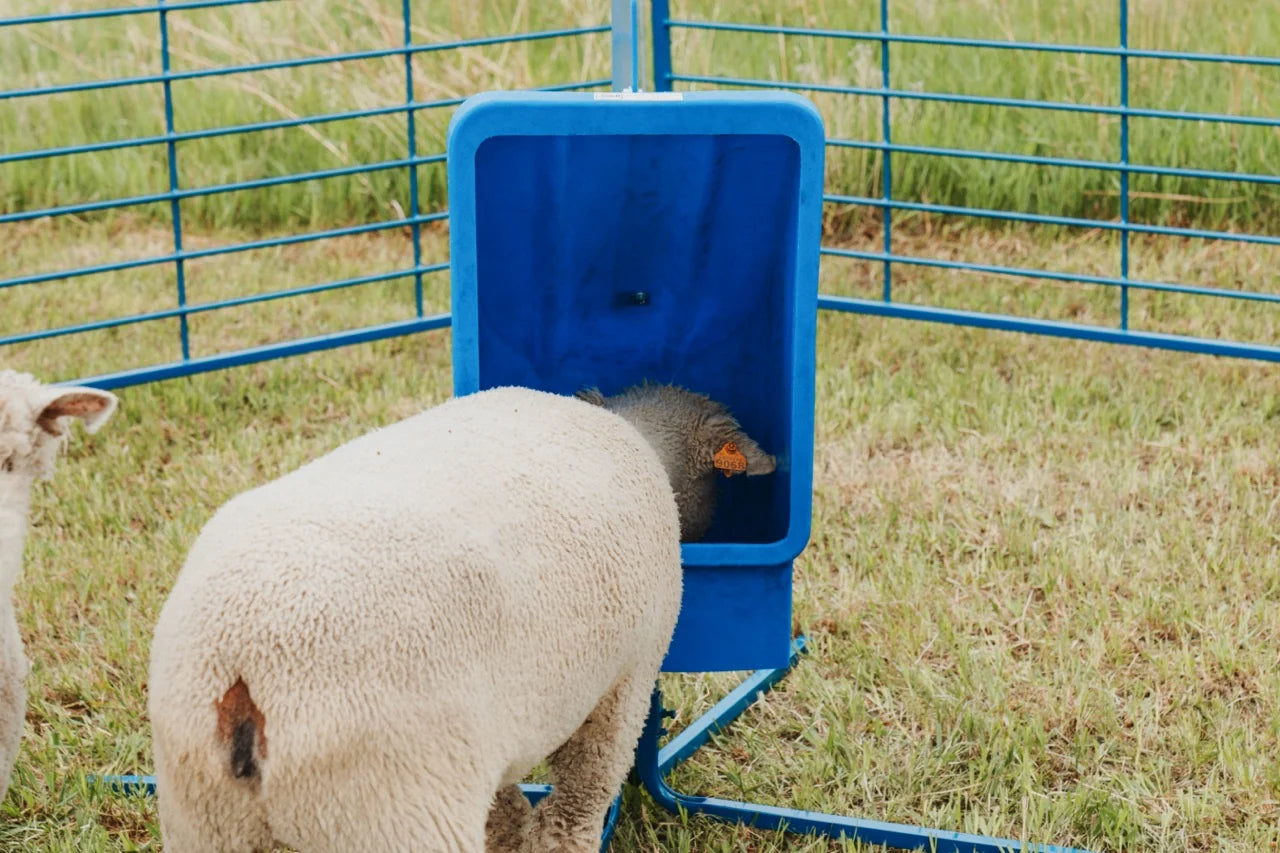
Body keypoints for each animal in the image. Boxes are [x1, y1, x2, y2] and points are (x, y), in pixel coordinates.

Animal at [147, 382, 775, 852]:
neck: (641, 439)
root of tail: (243, 662)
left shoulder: (494, 733)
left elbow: (505, 817)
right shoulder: (625, 683)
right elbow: (572, 817)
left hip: (200, 815)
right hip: (395, 809)